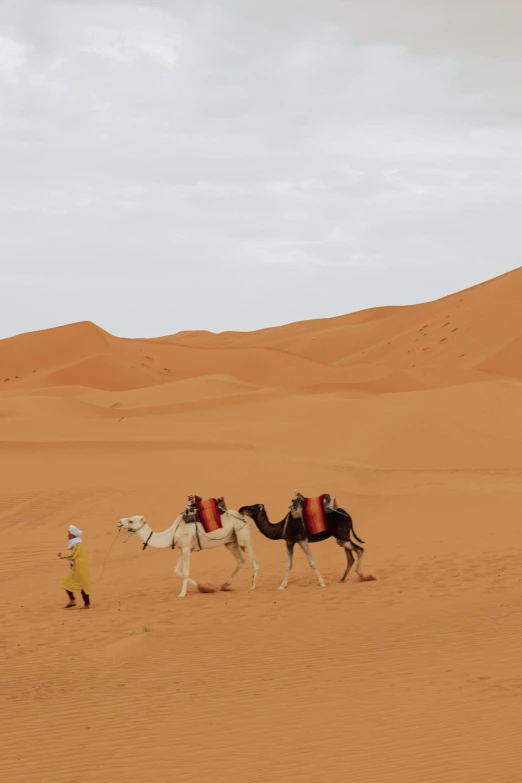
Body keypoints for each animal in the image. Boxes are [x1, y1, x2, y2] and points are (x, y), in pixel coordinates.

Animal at [116, 508, 258, 600]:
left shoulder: (185, 547)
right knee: (241, 560)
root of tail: (242, 516)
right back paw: (225, 585)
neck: (172, 532)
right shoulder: (184, 548)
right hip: (230, 541)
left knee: (254, 560)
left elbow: (185, 572)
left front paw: (182, 594)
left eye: (131, 521)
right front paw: (204, 587)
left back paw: (252, 586)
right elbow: (177, 571)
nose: (118, 521)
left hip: (242, 535)